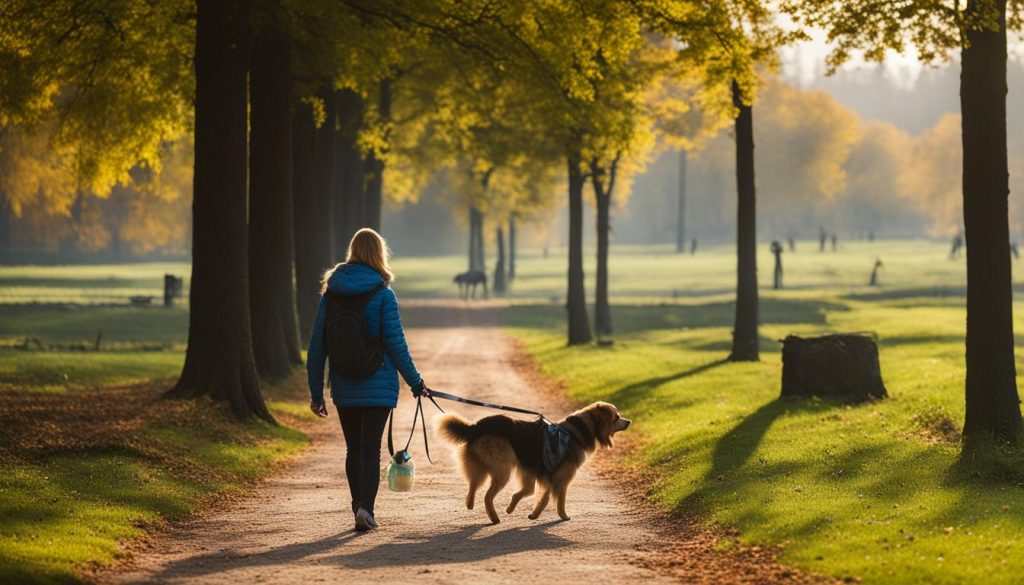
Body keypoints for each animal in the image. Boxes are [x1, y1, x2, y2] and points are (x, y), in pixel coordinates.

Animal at [436, 405, 626, 524]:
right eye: (616, 417)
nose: (629, 421)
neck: (577, 432)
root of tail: (475, 427)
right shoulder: (561, 478)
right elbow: (558, 500)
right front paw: (563, 516)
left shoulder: (536, 473)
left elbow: (532, 493)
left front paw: (520, 510)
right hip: (503, 468)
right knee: (488, 496)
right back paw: (494, 518)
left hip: (481, 465)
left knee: (473, 484)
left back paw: (470, 502)